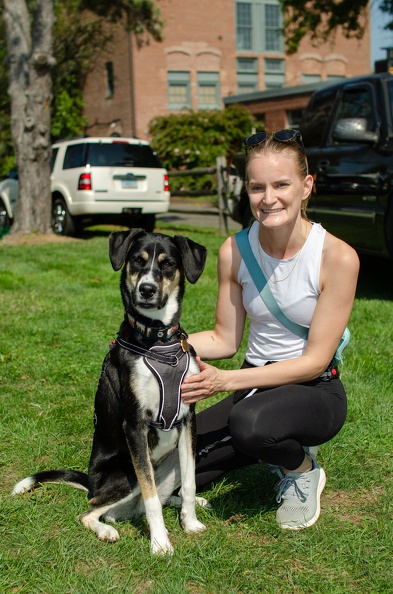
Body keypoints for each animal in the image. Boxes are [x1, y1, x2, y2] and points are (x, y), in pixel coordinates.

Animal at [12, 228, 208, 556]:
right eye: (137, 261)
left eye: (168, 264)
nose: (146, 289)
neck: (158, 342)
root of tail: (91, 482)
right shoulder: (135, 425)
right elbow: (151, 497)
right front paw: (160, 543)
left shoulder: (188, 420)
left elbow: (191, 483)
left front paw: (190, 523)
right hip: (126, 472)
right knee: (93, 509)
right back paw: (105, 530)